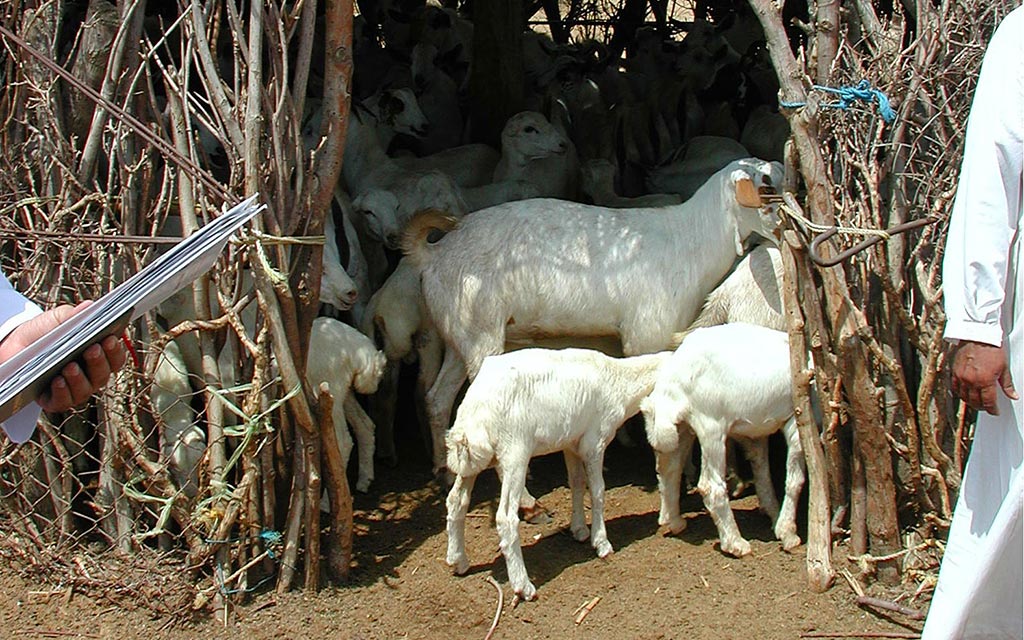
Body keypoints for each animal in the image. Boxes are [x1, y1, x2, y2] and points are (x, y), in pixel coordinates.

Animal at [403, 154, 778, 475]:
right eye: (765, 187)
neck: (691, 240)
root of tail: (434, 252)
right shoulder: (648, 335)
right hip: (482, 335)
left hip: (460, 334)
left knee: (437, 399)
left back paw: (441, 468)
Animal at [442, 344, 667, 598]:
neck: (620, 381)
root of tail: (474, 412)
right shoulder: (594, 442)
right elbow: (598, 491)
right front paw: (602, 542)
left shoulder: (571, 443)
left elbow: (577, 483)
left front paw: (579, 529)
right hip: (514, 453)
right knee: (506, 517)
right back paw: (523, 586)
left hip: (472, 461)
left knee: (456, 501)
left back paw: (458, 560)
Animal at [638, 321, 806, 557]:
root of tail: (671, 382)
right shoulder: (797, 420)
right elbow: (795, 479)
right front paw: (788, 533)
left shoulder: (758, 430)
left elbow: (762, 469)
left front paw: (774, 517)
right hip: (711, 426)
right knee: (710, 486)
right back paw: (735, 543)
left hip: (682, 429)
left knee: (669, 470)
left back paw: (675, 522)